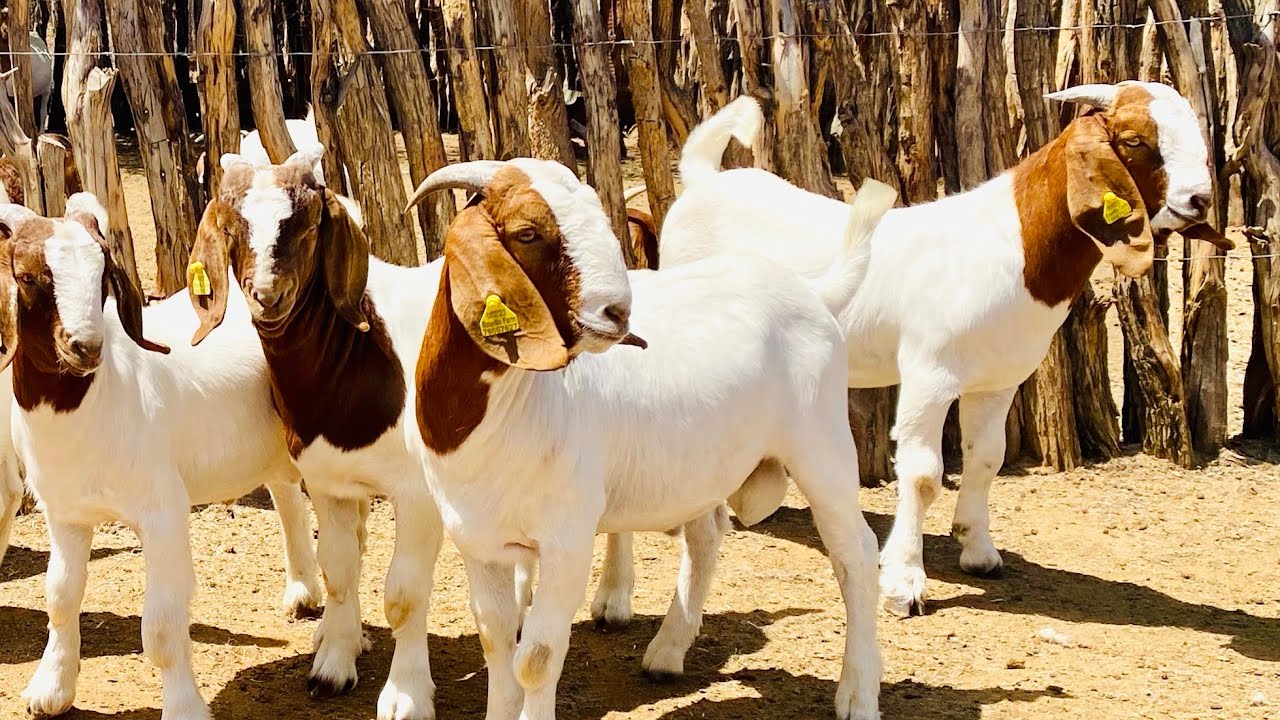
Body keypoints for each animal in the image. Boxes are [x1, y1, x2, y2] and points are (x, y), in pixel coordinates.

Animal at [1, 194, 320, 717]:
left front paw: (184, 706)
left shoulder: (163, 513)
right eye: (28, 277)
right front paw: (50, 691)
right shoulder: (66, 514)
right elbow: (60, 598)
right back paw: (304, 593)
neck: (102, 396)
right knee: (288, 496)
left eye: (102, 274)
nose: (85, 347)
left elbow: (162, 628)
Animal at [185, 149, 445, 717]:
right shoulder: (331, 484)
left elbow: (405, 593)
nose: (266, 295)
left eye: (306, 226)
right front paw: (333, 666)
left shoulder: (418, 493)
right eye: (232, 228)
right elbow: (339, 570)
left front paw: (407, 694)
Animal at [404, 158, 896, 717]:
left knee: (856, 554)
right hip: (706, 465)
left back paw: (857, 694)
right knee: (707, 535)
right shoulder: (477, 540)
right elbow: (497, 645)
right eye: (528, 232)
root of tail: (814, 291)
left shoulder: (567, 540)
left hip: (822, 446)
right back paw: (667, 651)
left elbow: (536, 658)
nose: (618, 312)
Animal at [650, 81, 1228, 614]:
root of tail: (703, 181)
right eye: (1134, 140)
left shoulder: (998, 380)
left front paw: (978, 550)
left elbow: (987, 459)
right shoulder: (929, 373)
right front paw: (903, 581)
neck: (1011, 245)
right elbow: (924, 473)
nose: (1199, 200)